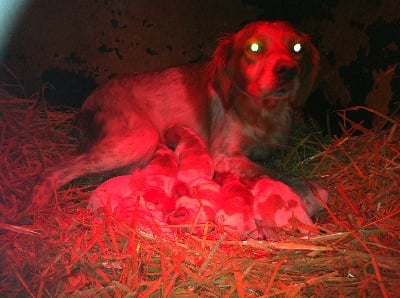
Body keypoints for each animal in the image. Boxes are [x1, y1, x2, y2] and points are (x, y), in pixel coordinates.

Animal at [30, 21, 318, 208]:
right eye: (255, 47)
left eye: (297, 48)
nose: (288, 70)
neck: (262, 110)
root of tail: (88, 102)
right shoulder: (224, 155)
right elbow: (276, 173)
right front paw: (310, 193)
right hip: (138, 138)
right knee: (53, 170)